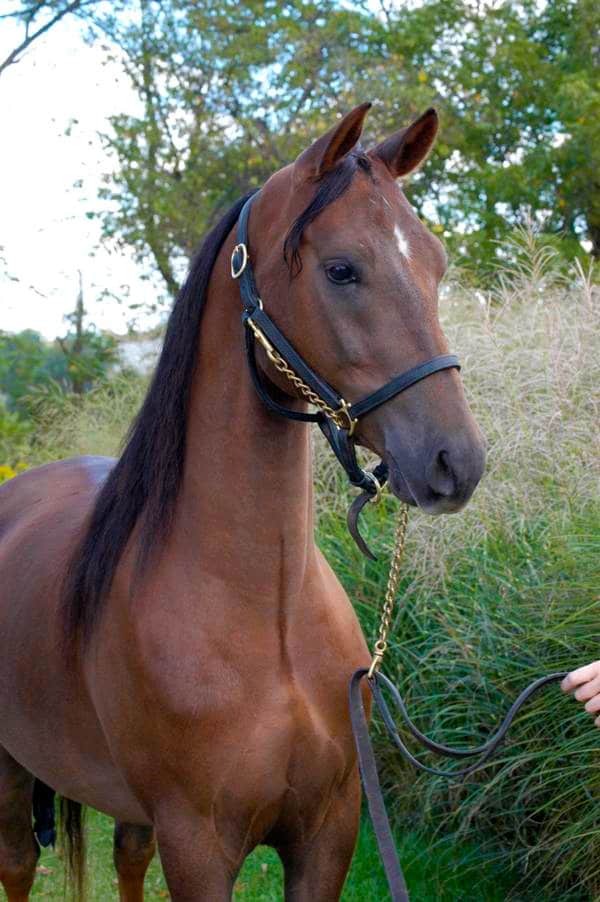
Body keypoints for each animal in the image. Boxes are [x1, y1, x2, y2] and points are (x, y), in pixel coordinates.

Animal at [0, 102, 486, 901]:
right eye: (341, 269)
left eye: (436, 263)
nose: (457, 461)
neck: (268, 613)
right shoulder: (199, 847)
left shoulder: (327, 835)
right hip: (12, 769)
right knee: (17, 863)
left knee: (126, 860)